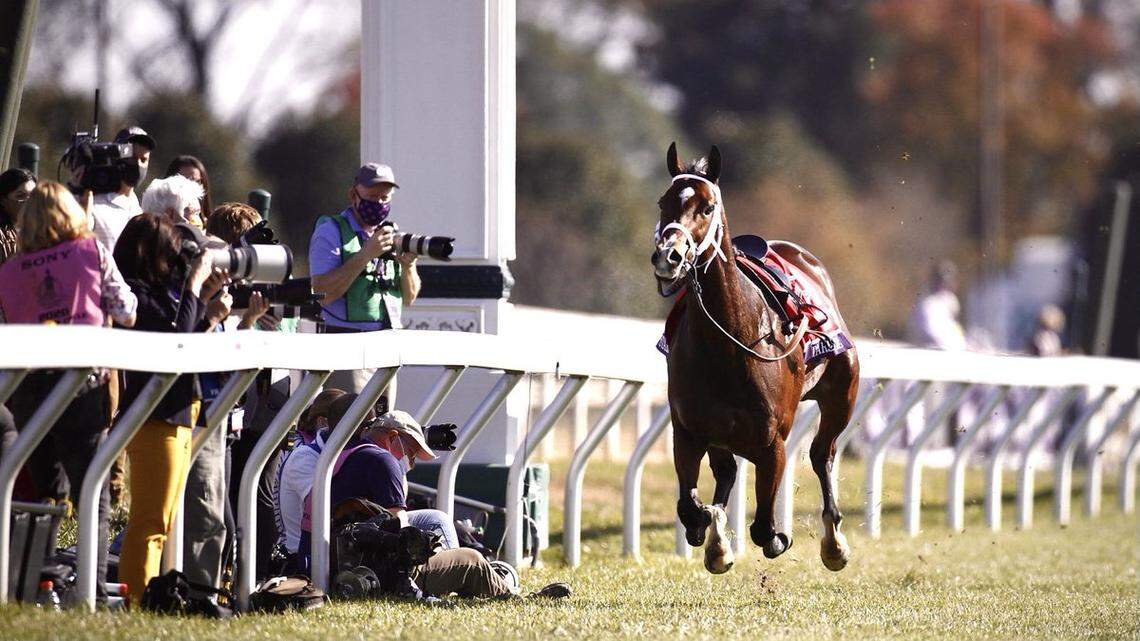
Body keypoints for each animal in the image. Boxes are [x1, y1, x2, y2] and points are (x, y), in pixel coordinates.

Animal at [651, 143, 860, 574]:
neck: (727, 344)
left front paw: (779, 536)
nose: (669, 257)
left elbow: (765, 529)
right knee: (727, 472)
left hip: (842, 395)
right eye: (664, 202)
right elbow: (690, 506)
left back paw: (834, 543)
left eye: (707, 206)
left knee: (823, 454)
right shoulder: (689, 431)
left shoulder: (772, 443)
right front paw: (711, 536)